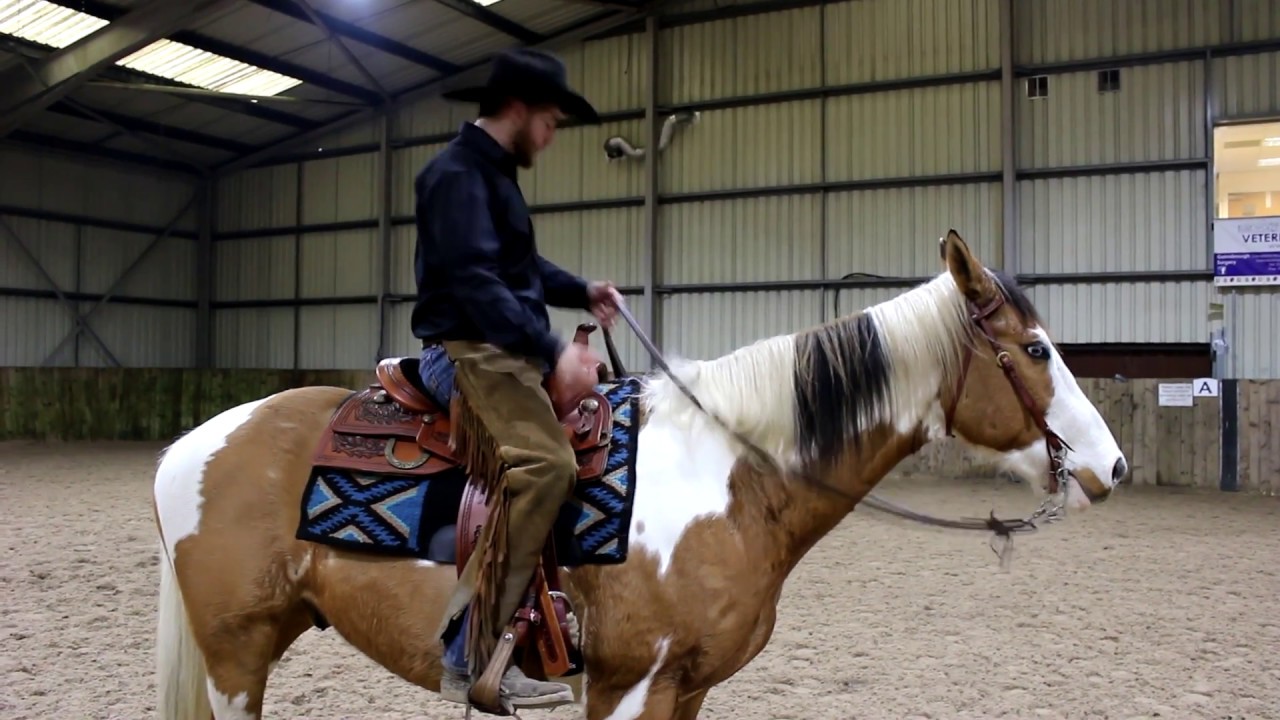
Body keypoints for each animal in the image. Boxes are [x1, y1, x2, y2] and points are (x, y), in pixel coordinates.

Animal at [151, 230, 1127, 719]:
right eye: (1035, 349)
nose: (1112, 464)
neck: (731, 478)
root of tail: (192, 445)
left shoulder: (687, 689)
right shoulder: (629, 685)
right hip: (236, 652)